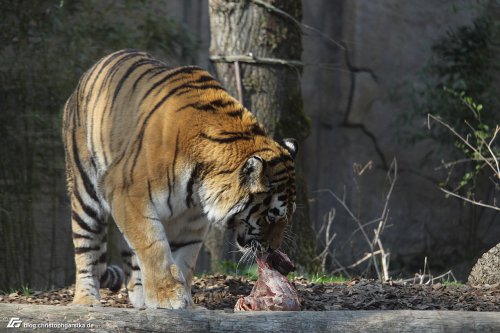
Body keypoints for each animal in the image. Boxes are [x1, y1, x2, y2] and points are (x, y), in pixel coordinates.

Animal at [62, 49, 296, 308]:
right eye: (270, 217)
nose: (272, 250)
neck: (198, 187)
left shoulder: (191, 221)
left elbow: (184, 260)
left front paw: (186, 302)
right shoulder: (126, 192)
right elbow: (153, 246)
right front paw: (168, 296)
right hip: (85, 191)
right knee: (86, 249)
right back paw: (85, 299)